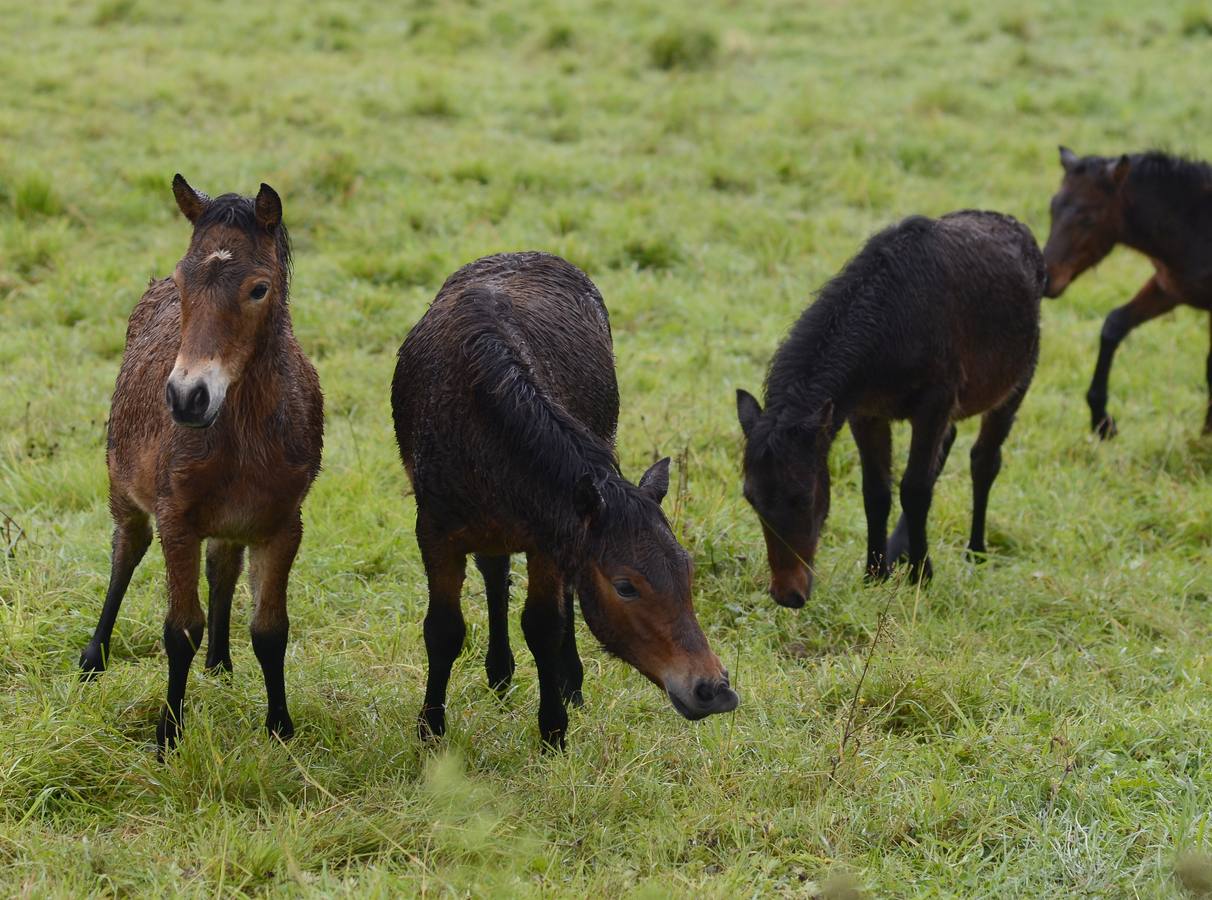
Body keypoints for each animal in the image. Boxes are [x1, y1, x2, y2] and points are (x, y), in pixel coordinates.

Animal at [77, 175, 324, 751]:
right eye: (182, 279)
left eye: (259, 288)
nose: (188, 397)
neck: (246, 438)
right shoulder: (176, 517)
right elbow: (179, 628)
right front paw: (168, 733)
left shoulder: (283, 523)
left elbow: (270, 629)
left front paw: (280, 727)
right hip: (122, 485)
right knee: (126, 550)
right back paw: (93, 658)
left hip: (232, 521)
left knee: (223, 564)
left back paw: (220, 663)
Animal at [395, 251, 736, 746]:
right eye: (626, 585)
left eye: (687, 569)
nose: (713, 689)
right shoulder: (435, 529)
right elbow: (443, 630)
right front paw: (431, 727)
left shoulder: (548, 538)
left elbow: (544, 626)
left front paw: (554, 727)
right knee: (495, 571)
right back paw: (500, 674)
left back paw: (566, 680)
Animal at [732, 210, 1047, 605]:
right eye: (751, 498)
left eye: (802, 496)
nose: (787, 594)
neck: (891, 327)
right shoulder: (865, 413)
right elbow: (877, 492)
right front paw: (875, 572)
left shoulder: (934, 401)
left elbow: (914, 489)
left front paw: (921, 575)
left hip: (1015, 384)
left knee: (984, 460)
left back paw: (975, 551)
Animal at [1042, 149, 1212, 438]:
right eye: (1052, 208)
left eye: (1088, 218)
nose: (1046, 278)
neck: (1196, 223)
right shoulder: (1169, 288)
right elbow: (1114, 324)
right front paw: (1102, 421)